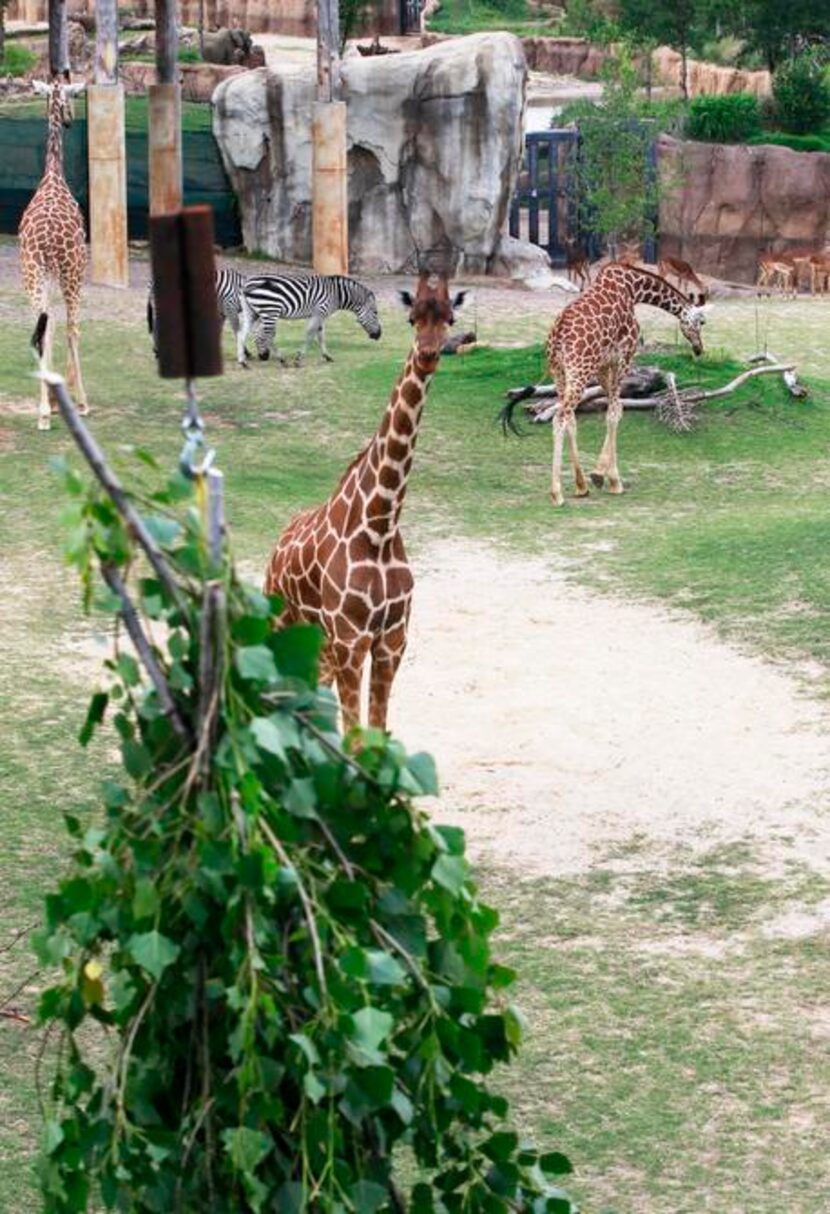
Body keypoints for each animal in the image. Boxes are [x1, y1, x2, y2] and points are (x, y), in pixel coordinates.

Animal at [236, 273, 383, 366]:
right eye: (375, 313)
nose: (379, 335)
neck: (336, 294)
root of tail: (246, 284)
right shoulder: (319, 312)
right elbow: (310, 335)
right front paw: (298, 359)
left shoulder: (319, 316)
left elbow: (321, 336)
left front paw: (327, 356)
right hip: (270, 311)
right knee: (264, 336)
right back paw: (279, 359)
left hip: (252, 313)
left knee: (242, 334)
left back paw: (243, 361)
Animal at [262, 275, 463, 728]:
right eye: (411, 318)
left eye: (450, 318)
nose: (427, 355)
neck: (379, 523)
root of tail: (277, 544)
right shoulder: (350, 639)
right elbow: (356, 733)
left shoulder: (392, 639)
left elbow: (377, 729)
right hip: (283, 619)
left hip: (317, 638)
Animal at [543, 263, 708, 505]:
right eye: (700, 322)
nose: (699, 348)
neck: (634, 288)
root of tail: (557, 338)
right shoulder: (625, 356)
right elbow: (614, 411)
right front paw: (612, 480)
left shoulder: (603, 365)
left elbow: (615, 408)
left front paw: (597, 475)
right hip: (578, 370)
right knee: (560, 417)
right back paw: (556, 493)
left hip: (559, 373)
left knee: (569, 418)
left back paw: (580, 486)